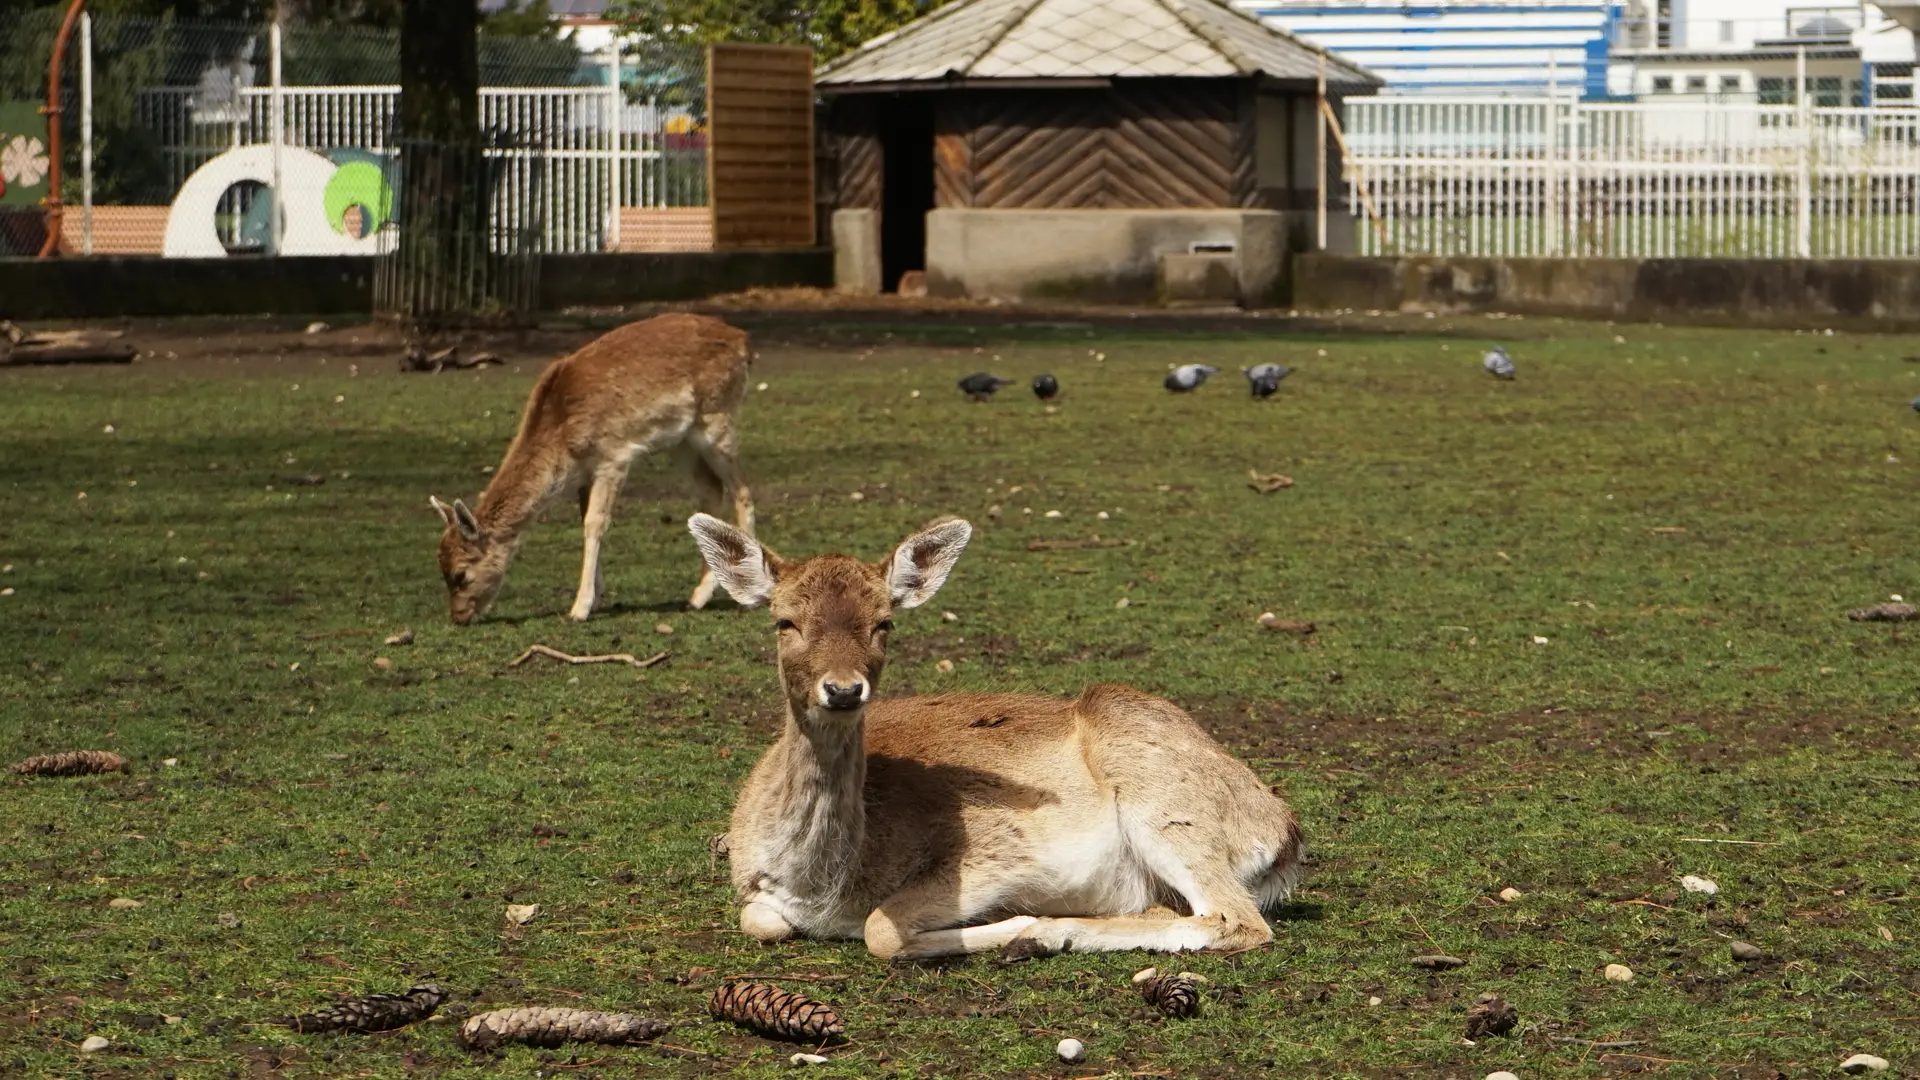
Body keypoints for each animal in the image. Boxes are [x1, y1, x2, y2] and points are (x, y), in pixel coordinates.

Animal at [435, 313, 756, 622]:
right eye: (442, 570)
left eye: (460, 575)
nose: (458, 617)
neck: (564, 446)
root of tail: (742, 339)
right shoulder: (585, 474)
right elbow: (585, 520)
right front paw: (597, 597)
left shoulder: (613, 457)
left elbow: (595, 522)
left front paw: (579, 609)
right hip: (682, 441)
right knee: (710, 490)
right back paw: (697, 597)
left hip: (718, 417)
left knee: (742, 488)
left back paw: (747, 597)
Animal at [691, 511, 1305, 957]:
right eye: (784, 620)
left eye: (884, 622)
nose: (843, 690)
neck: (822, 886)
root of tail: (1283, 832)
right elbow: (759, 920)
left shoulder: (996, 852)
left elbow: (880, 930)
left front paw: (1016, 926)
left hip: (1165, 798)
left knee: (1237, 919)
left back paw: (1049, 933)